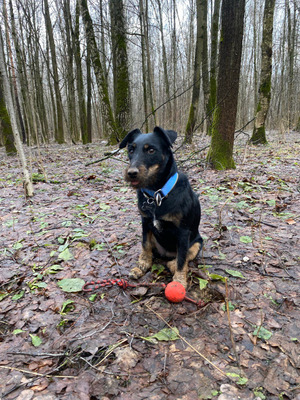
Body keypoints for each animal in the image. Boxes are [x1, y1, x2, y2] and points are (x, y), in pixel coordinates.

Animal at [119, 126, 202, 286]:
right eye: (131, 150)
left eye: (151, 150)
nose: (131, 173)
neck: (157, 194)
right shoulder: (145, 223)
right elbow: (145, 245)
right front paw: (142, 265)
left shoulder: (183, 233)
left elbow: (182, 259)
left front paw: (179, 281)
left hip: (198, 242)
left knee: (185, 255)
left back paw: (172, 264)